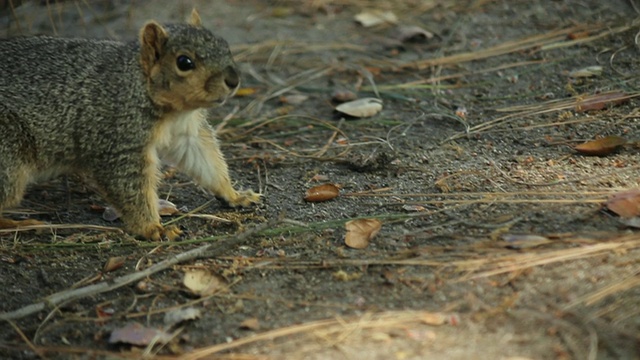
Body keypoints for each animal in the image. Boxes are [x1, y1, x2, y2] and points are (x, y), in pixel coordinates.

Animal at [0, 9, 260, 240]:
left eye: (224, 45)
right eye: (184, 62)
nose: (233, 80)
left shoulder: (187, 133)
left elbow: (206, 161)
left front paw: (234, 194)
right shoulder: (118, 140)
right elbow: (129, 187)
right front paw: (153, 228)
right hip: (8, 160)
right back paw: (20, 223)